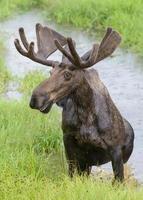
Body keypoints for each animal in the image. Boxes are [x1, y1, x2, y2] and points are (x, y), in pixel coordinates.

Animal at [14, 23, 134, 181]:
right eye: (50, 73)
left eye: (67, 75)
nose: (35, 98)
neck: (86, 115)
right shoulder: (69, 142)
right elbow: (71, 174)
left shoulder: (115, 151)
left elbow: (118, 180)